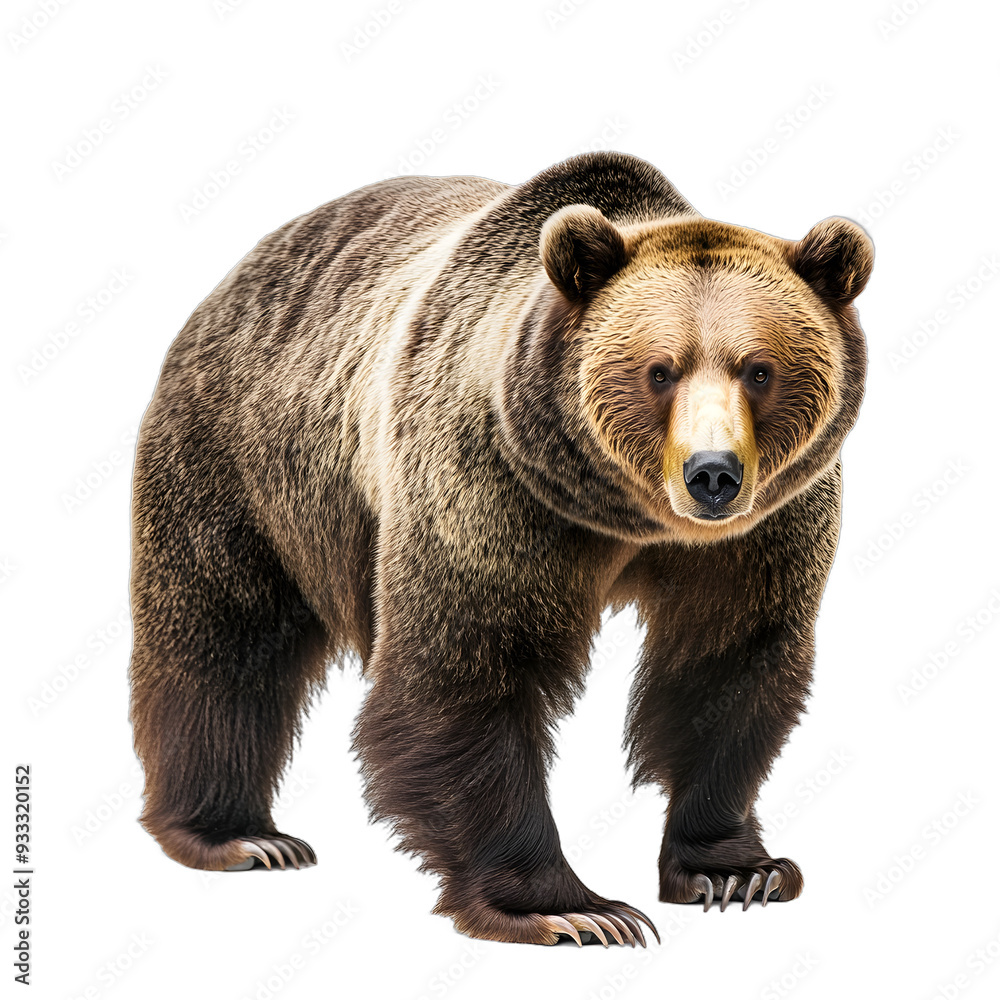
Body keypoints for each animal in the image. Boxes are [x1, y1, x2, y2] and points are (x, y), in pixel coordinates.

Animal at [128, 151, 872, 947]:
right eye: (660, 369)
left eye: (759, 369)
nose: (712, 474)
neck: (627, 516)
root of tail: (238, 271)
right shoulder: (491, 481)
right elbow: (467, 670)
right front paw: (571, 908)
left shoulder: (763, 530)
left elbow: (727, 664)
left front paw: (735, 871)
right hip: (248, 461)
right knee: (223, 632)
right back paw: (238, 835)